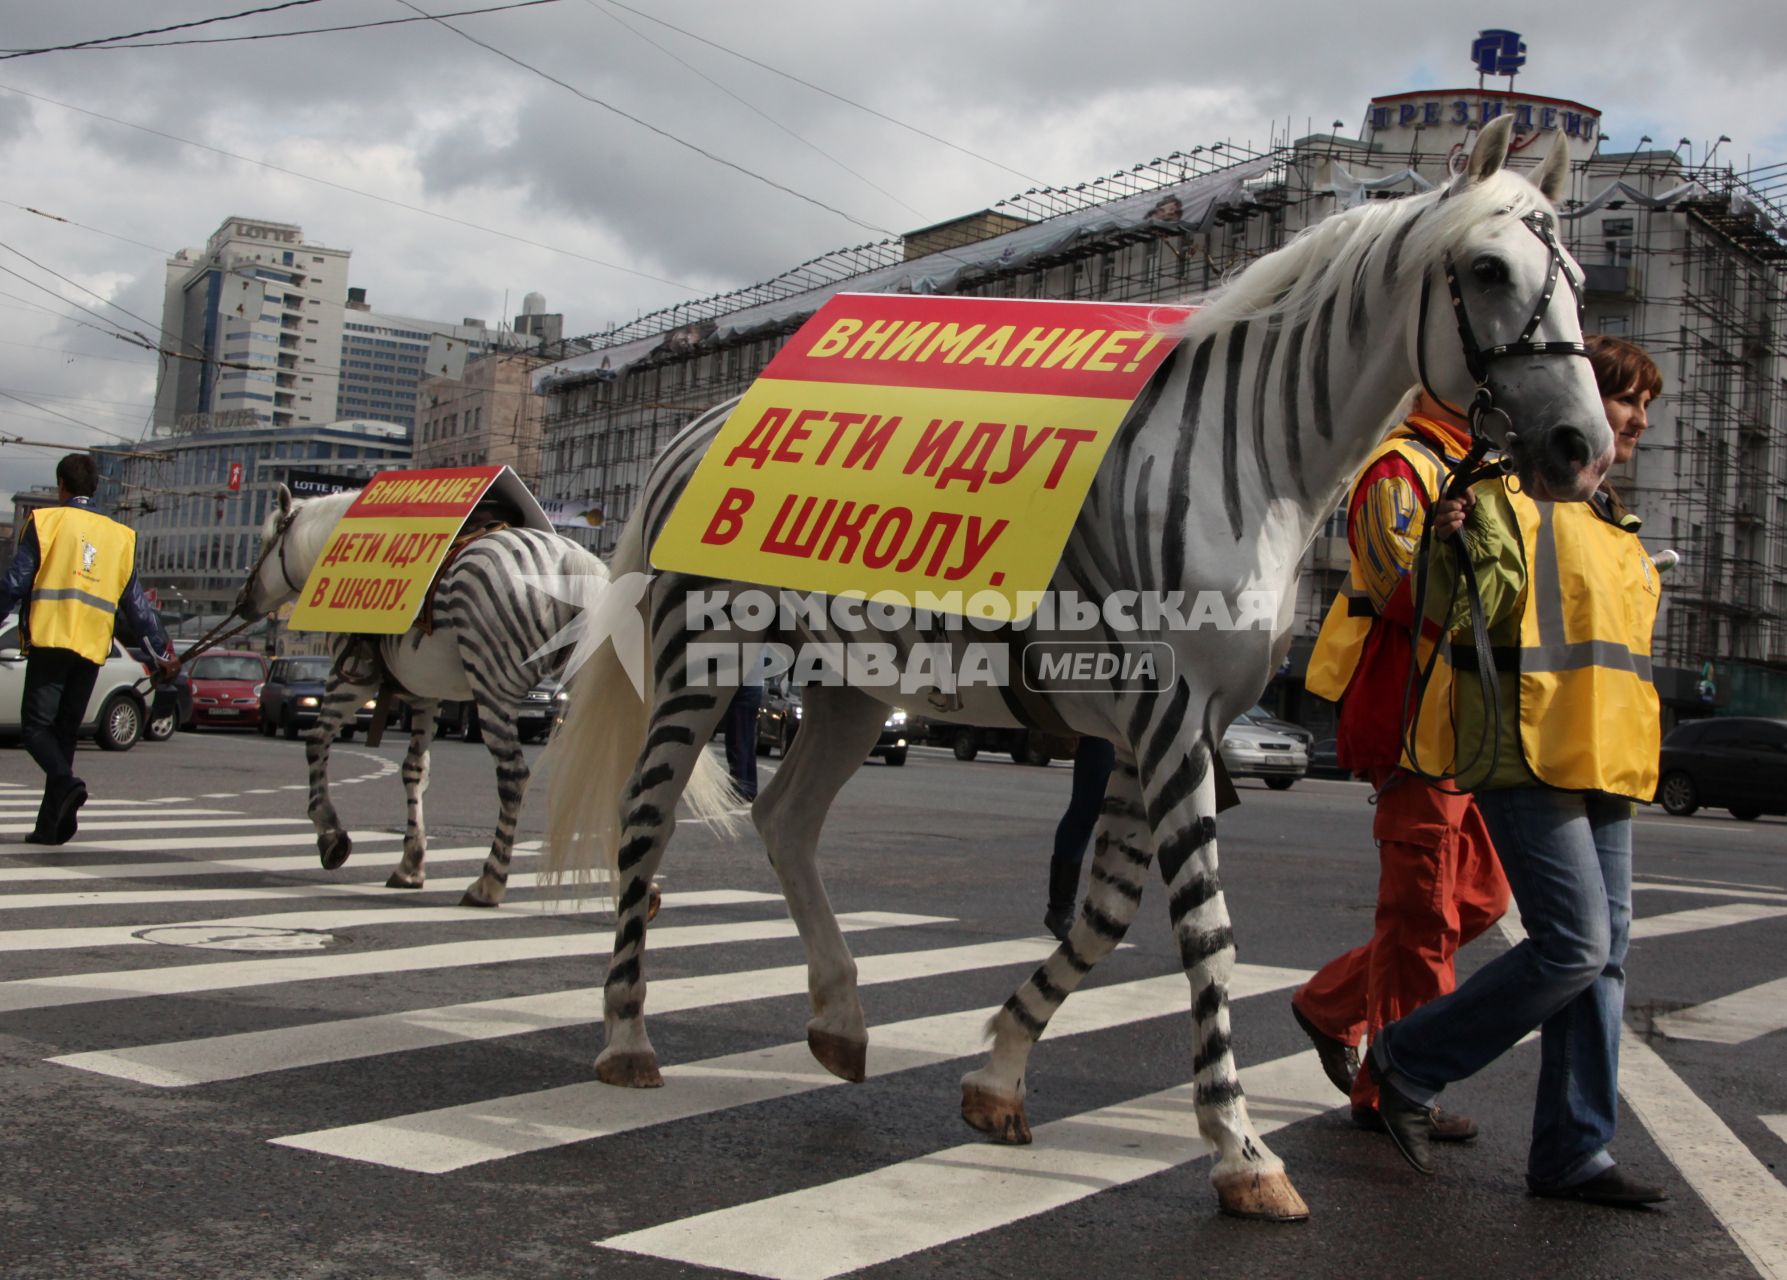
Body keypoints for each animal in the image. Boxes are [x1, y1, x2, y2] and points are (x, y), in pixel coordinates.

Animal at [543, 122, 1608, 1222]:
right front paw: (1240, 1151)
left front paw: (999, 1077)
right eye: (1486, 270)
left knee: (785, 819)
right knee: (644, 818)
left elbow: (1105, 915)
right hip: (701, 662)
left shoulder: (1160, 730)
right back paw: (626, 1037)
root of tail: (691, 432)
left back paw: (838, 1017)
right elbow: (1205, 930)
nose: (1582, 448)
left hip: (848, 688)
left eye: (1576, 277)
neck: (1243, 460)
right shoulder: (1172, 718)